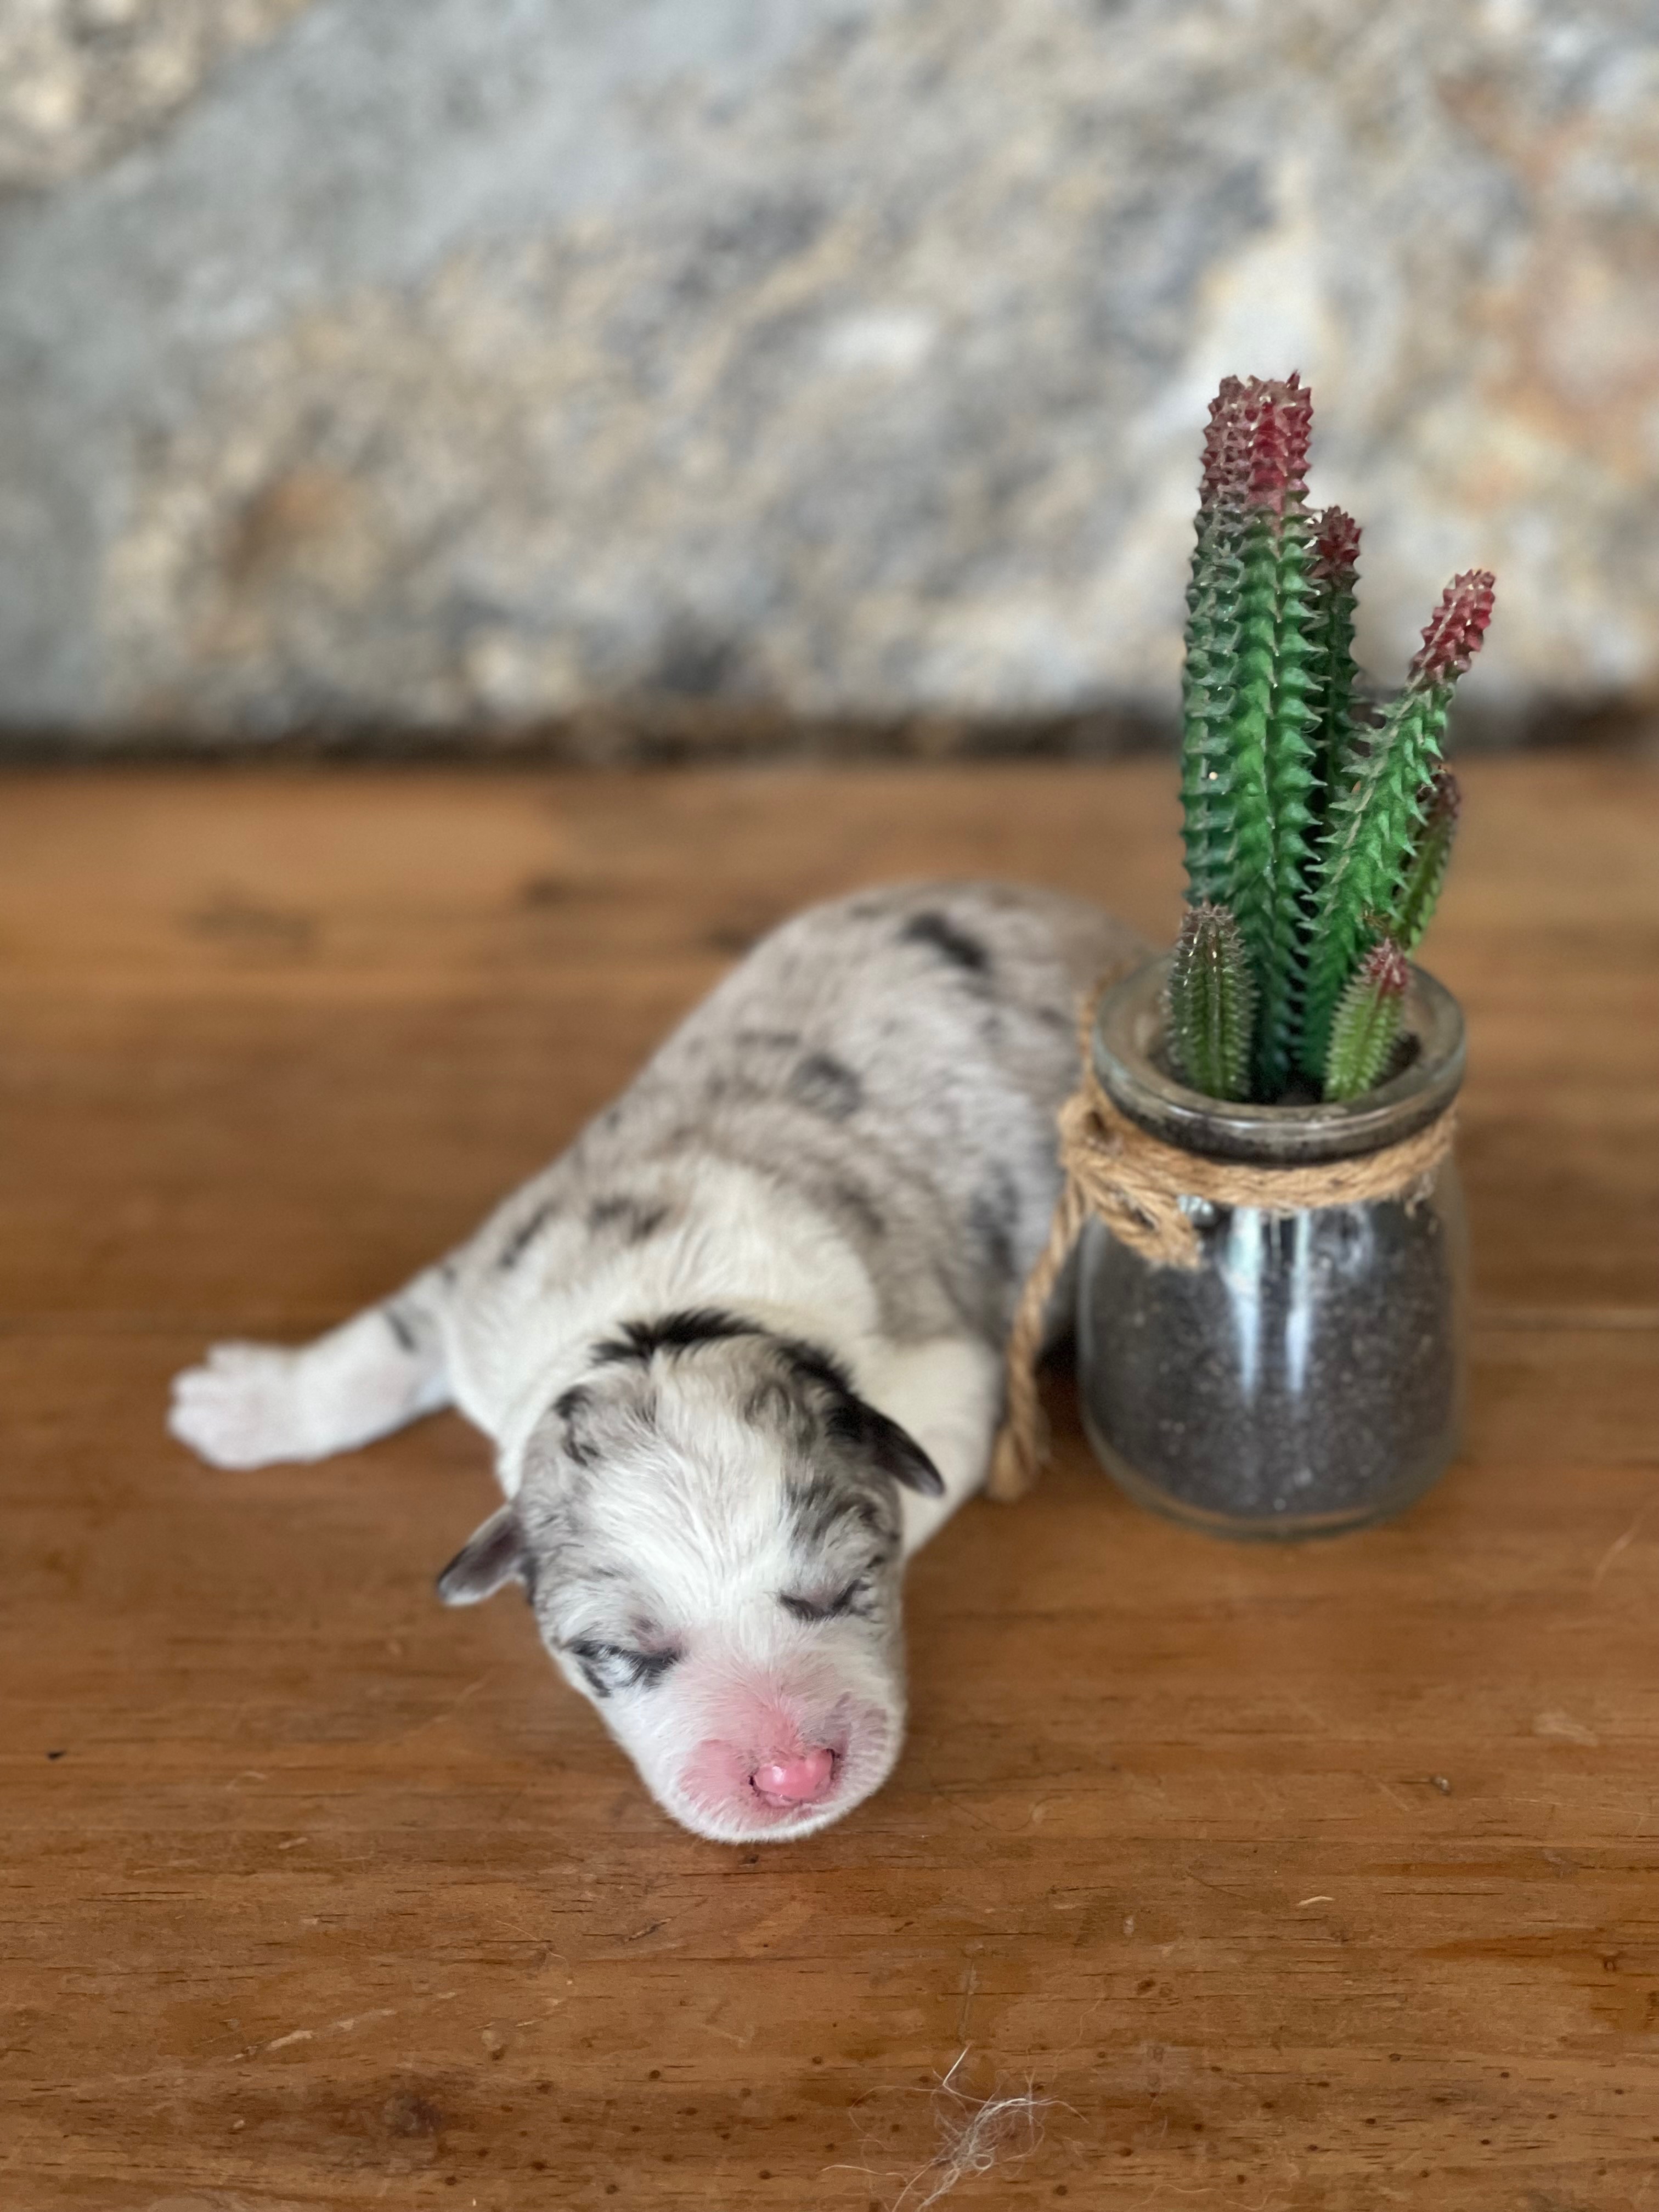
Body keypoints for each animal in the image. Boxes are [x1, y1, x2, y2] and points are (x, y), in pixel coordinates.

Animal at [176, 876, 1150, 1831]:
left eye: (846, 1589)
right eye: (619, 1651)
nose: (793, 1776)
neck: (664, 1310)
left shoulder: (954, 1377)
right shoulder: (486, 1292)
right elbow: (385, 1343)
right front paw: (243, 1406)